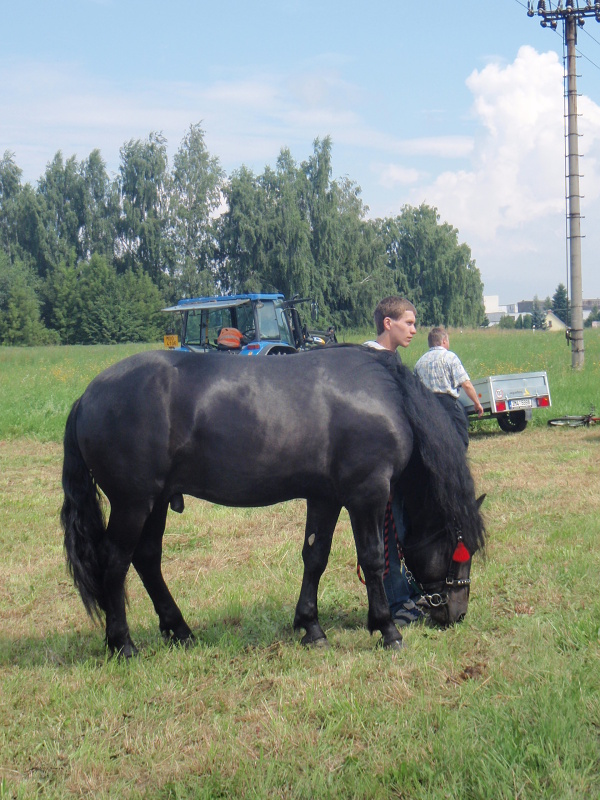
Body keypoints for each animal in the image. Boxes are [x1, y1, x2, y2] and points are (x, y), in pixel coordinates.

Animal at [61, 346, 486, 656]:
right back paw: (123, 643)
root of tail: (87, 395)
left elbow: (315, 557)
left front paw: (311, 626)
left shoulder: (324, 497)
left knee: (147, 559)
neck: (386, 396)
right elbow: (373, 559)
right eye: (460, 549)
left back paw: (179, 629)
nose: (458, 612)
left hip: (157, 501)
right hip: (133, 503)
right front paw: (387, 628)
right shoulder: (367, 493)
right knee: (115, 562)